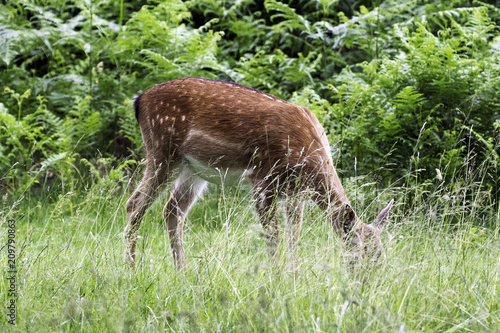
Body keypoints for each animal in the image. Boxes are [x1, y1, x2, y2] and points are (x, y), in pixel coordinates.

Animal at [125, 78, 394, 270]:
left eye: (381, 257)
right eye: (360, 256)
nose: (366, 286)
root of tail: (139, 101)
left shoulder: (295, 194)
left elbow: (294, 238)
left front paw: (294, 280)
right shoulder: (263, 180)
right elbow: (274, 236)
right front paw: (277, 282)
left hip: (193, 169)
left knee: (172, 209)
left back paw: (182, 272)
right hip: (162, 151)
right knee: (134, 203)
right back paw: (131, 269)